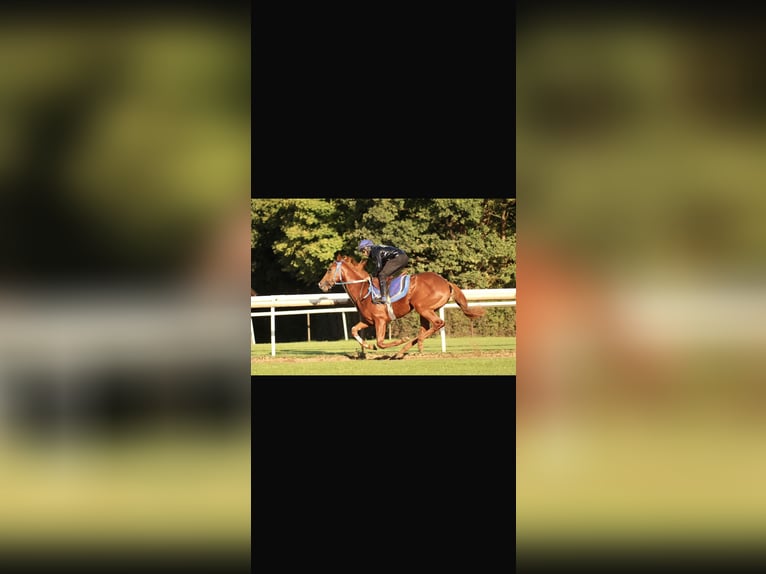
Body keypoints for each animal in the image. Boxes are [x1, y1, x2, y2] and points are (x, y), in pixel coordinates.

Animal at [318, 254, 485, 359]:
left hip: (422, 307)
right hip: (423, 310)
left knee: (438, 324)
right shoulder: (368, 321)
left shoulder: (380, 320)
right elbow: (354, 330)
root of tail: (446, 282)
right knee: (426, 328)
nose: (321, 284)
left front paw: (398, 341)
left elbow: (380, 342)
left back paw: (408, 345)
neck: (363, 290)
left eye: (329, 269)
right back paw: (407, 349)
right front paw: (369, 346)